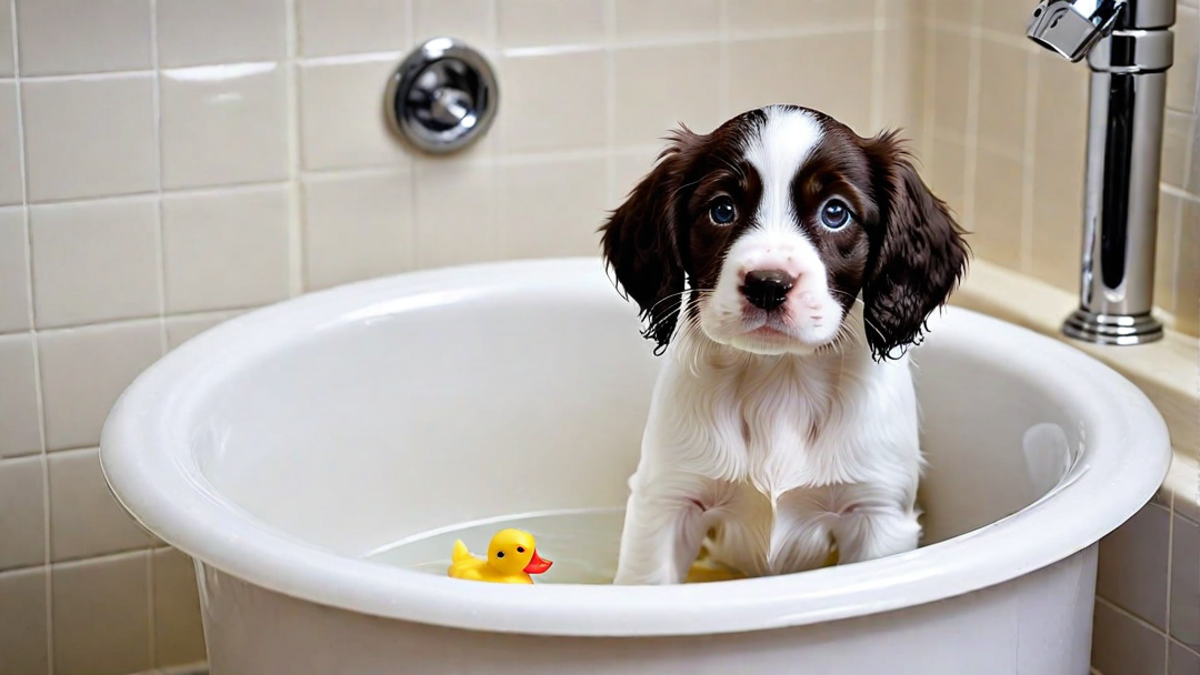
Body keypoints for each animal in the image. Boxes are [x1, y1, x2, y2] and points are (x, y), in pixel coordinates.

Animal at [600, 103, 964, 583]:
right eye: (722, 209)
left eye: (835, 212)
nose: (768, 285)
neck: (780, 378)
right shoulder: (668, 499)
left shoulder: (878, 513)